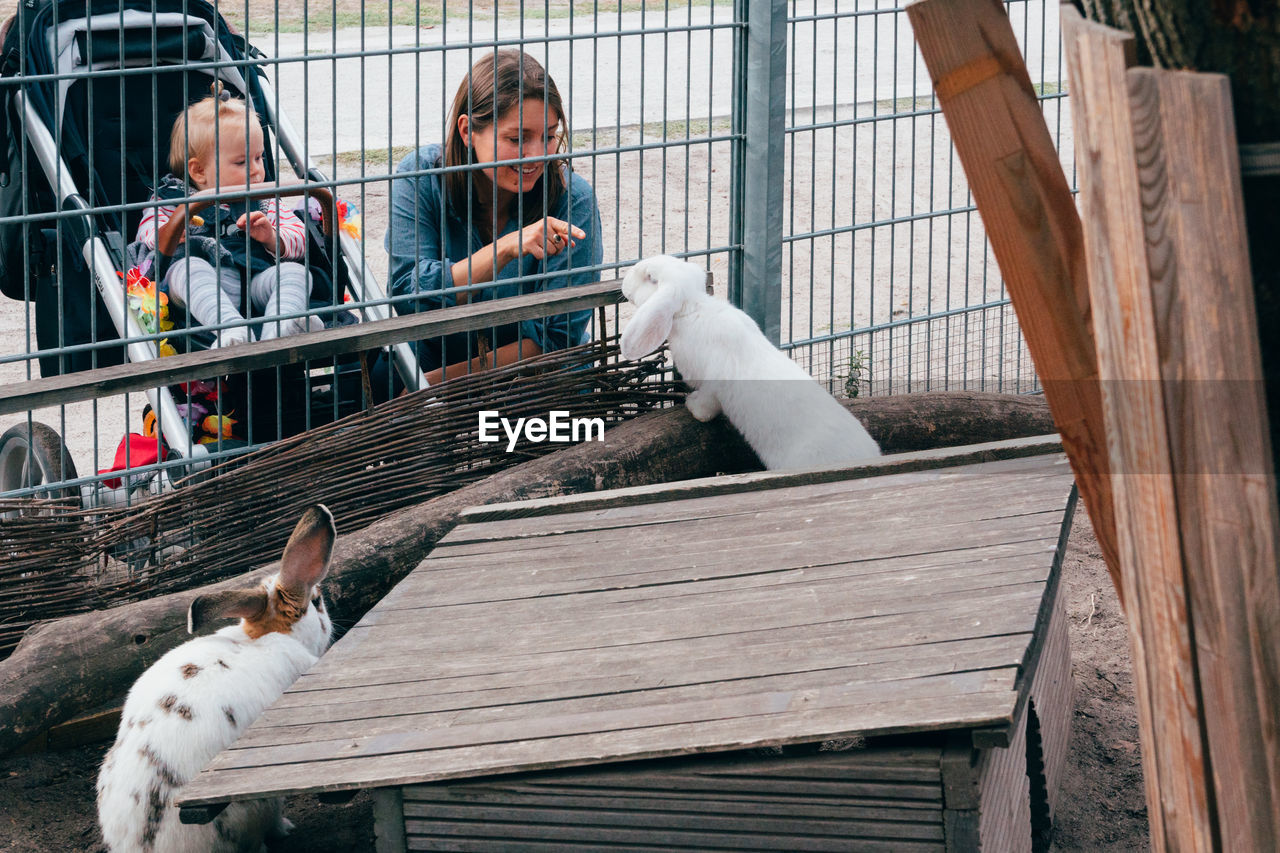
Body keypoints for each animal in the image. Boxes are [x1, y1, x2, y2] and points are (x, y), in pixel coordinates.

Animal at [619, 252, 880, 468]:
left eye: (650, 277)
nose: (624, 283)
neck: (693, 309)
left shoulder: (713, 384)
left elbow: (706, 406)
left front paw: (692, 406)